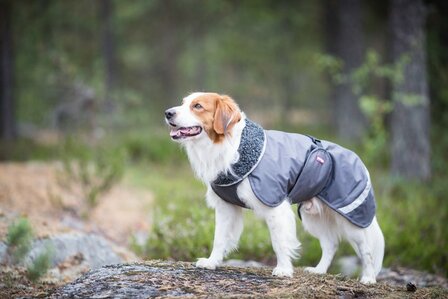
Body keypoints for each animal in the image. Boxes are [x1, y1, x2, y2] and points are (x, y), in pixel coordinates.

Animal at [164, 92, 384, 284]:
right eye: (183, 103)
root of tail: (357, 159)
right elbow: (219, 238)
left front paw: (284, 270)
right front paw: (212, 262)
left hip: (351, 218)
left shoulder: (274, 206)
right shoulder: (226, 207)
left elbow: (279, 242)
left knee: (366, 250)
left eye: (197, 106)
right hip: (313, 217)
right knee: (331, 243)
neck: (231, 147)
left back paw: (368, 278)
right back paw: (319, 270)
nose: (168, 112)